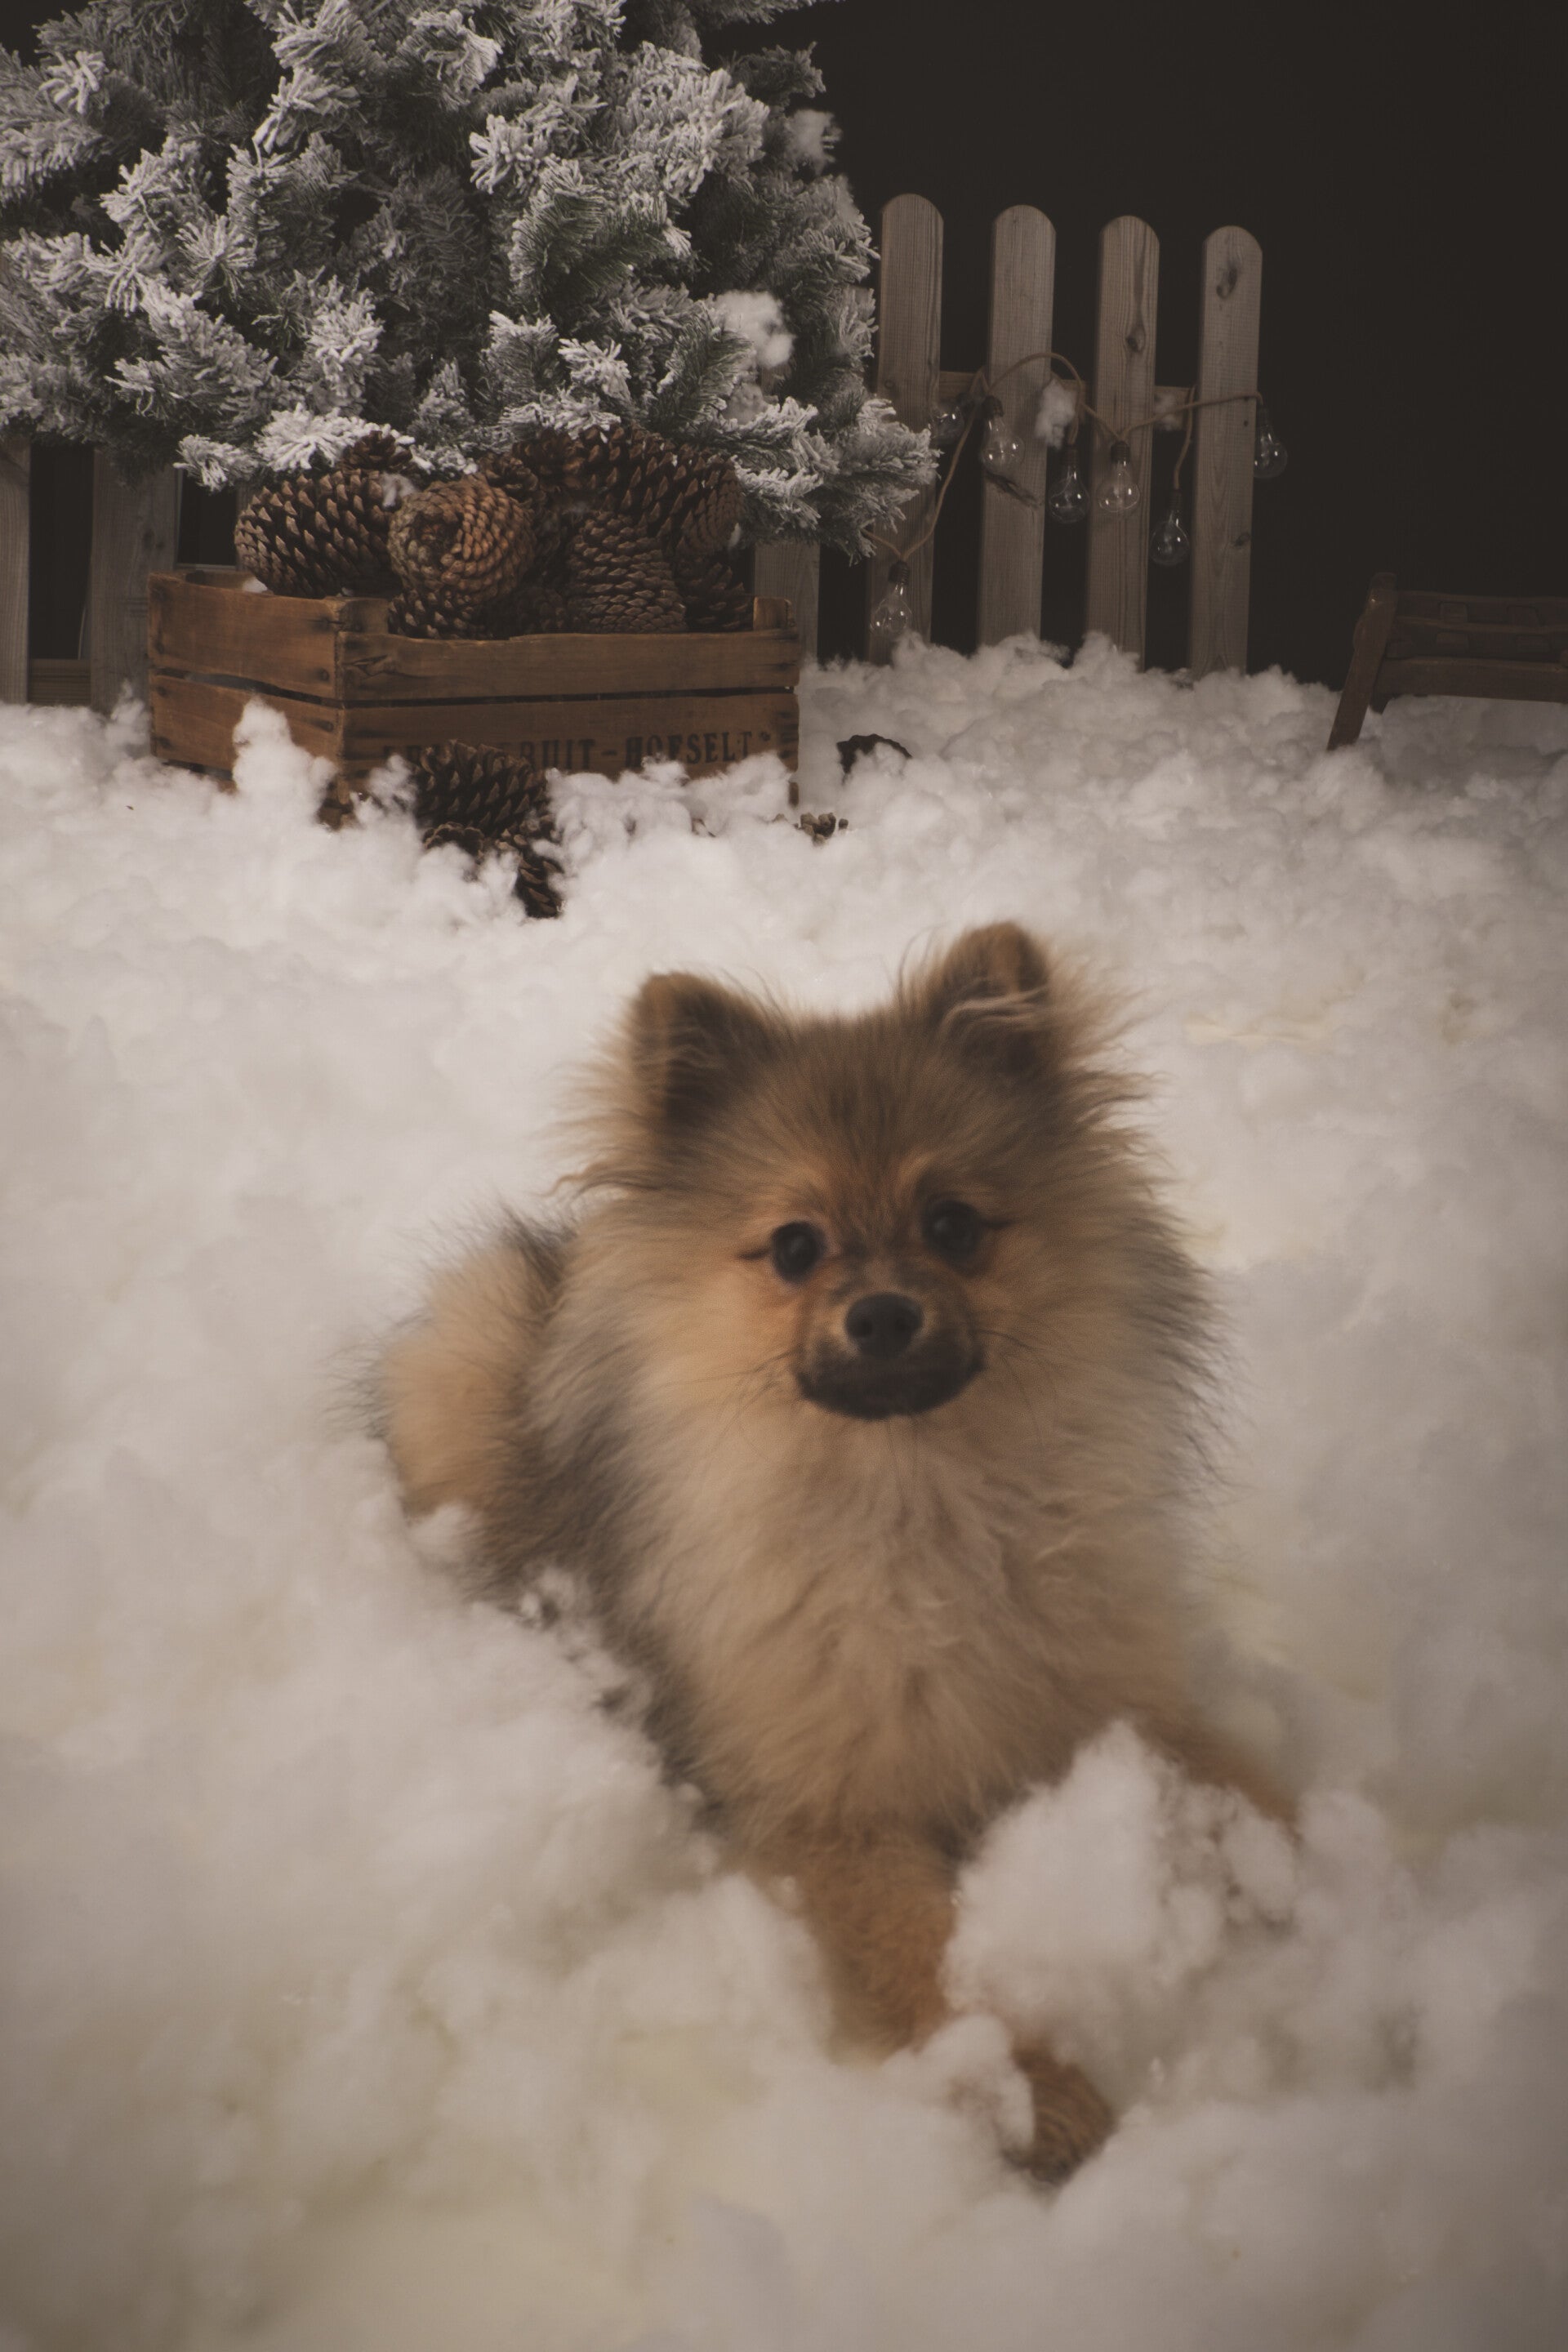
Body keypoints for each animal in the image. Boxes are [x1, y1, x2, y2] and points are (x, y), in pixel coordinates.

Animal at [382, 922, 1285, 2178]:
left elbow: (1253, 1792)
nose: (884, 1315)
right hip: (466, 1364)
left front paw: (1328, 1882)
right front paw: (1030, 2091)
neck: (920, 1495)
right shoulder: (832, 1812)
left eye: (953, 1223)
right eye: (796, 1247)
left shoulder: (1121, 1702)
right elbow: (926, 1953)